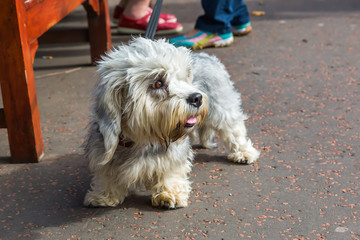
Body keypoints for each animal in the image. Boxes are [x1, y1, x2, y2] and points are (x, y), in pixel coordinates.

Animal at [83, 37, 260, 208]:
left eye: (184, 77)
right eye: (158, 83)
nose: (197, 98)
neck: (139, 139)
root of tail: (206, 56)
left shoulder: (173, 154)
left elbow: (170, 170)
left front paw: (168, 194)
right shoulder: (102, 148)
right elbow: (106, 173)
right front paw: (104, 195)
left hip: (223, 108)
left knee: (234, 130)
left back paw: (243, 153)